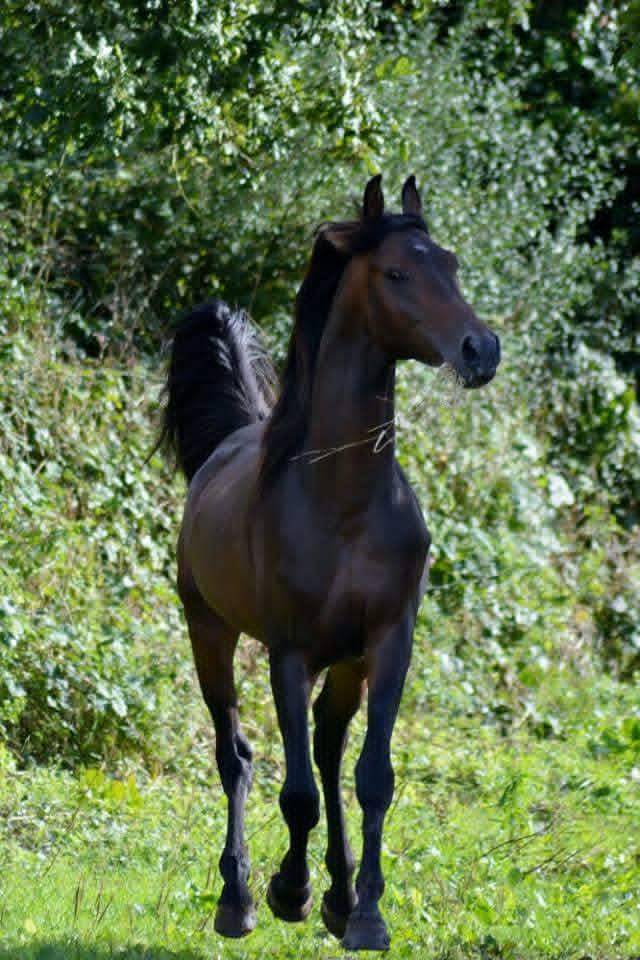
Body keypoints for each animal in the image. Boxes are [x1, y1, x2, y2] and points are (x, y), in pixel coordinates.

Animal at [159, 174, 500, 952]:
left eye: (452, 263)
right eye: (397, 273)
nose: (482, 349)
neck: (343, 502)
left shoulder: (388, 644)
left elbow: (371, 776)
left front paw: (366, 913)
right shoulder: (288, 652)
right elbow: (297, 794)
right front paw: (289, 891)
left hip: (344, 666)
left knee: (329, 749)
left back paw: (340, 895)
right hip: (210, 635)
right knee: (238, 755)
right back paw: (239, 898)